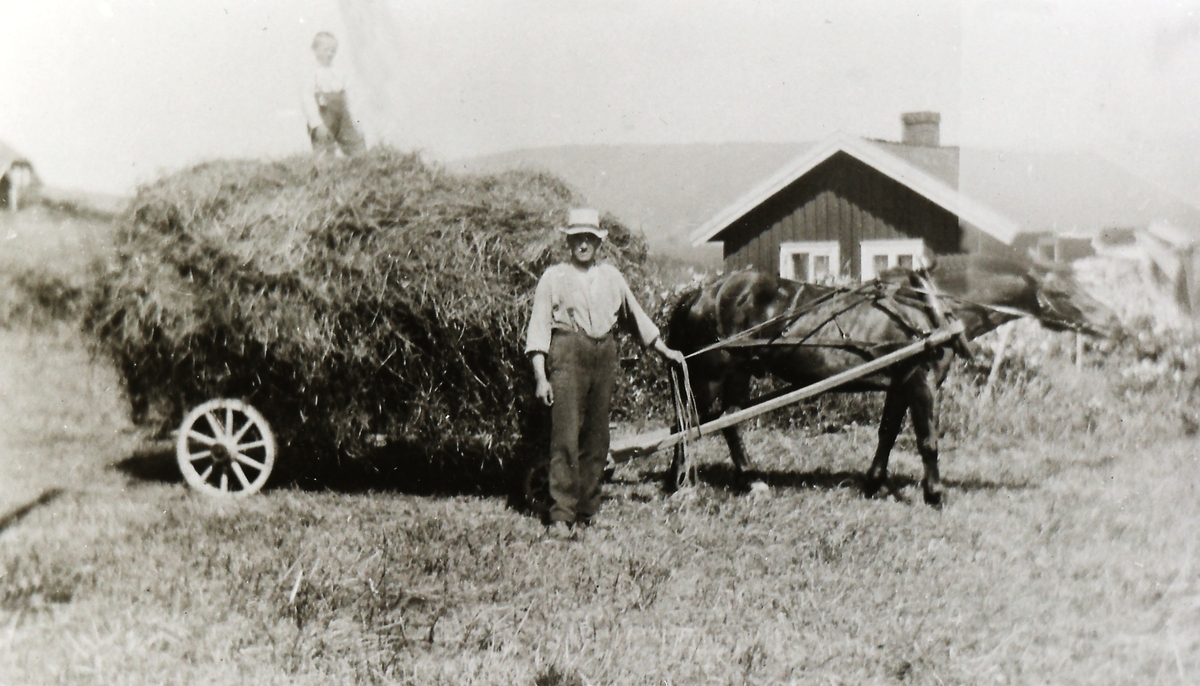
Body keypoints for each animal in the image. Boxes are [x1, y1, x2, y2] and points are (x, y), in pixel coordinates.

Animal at [667, 251, 1113, 503]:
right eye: (1065, 292)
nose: (1113, 323)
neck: (930, 307)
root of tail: (699, 294)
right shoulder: (921, 380)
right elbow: (927, 440)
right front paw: (935, 494)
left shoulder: (900, 383)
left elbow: (887, 433)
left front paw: (875, 483)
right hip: (710, 373)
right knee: (689, 424)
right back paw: (679, 485)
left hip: (739, 374)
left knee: (728, 422)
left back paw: (748, 480)